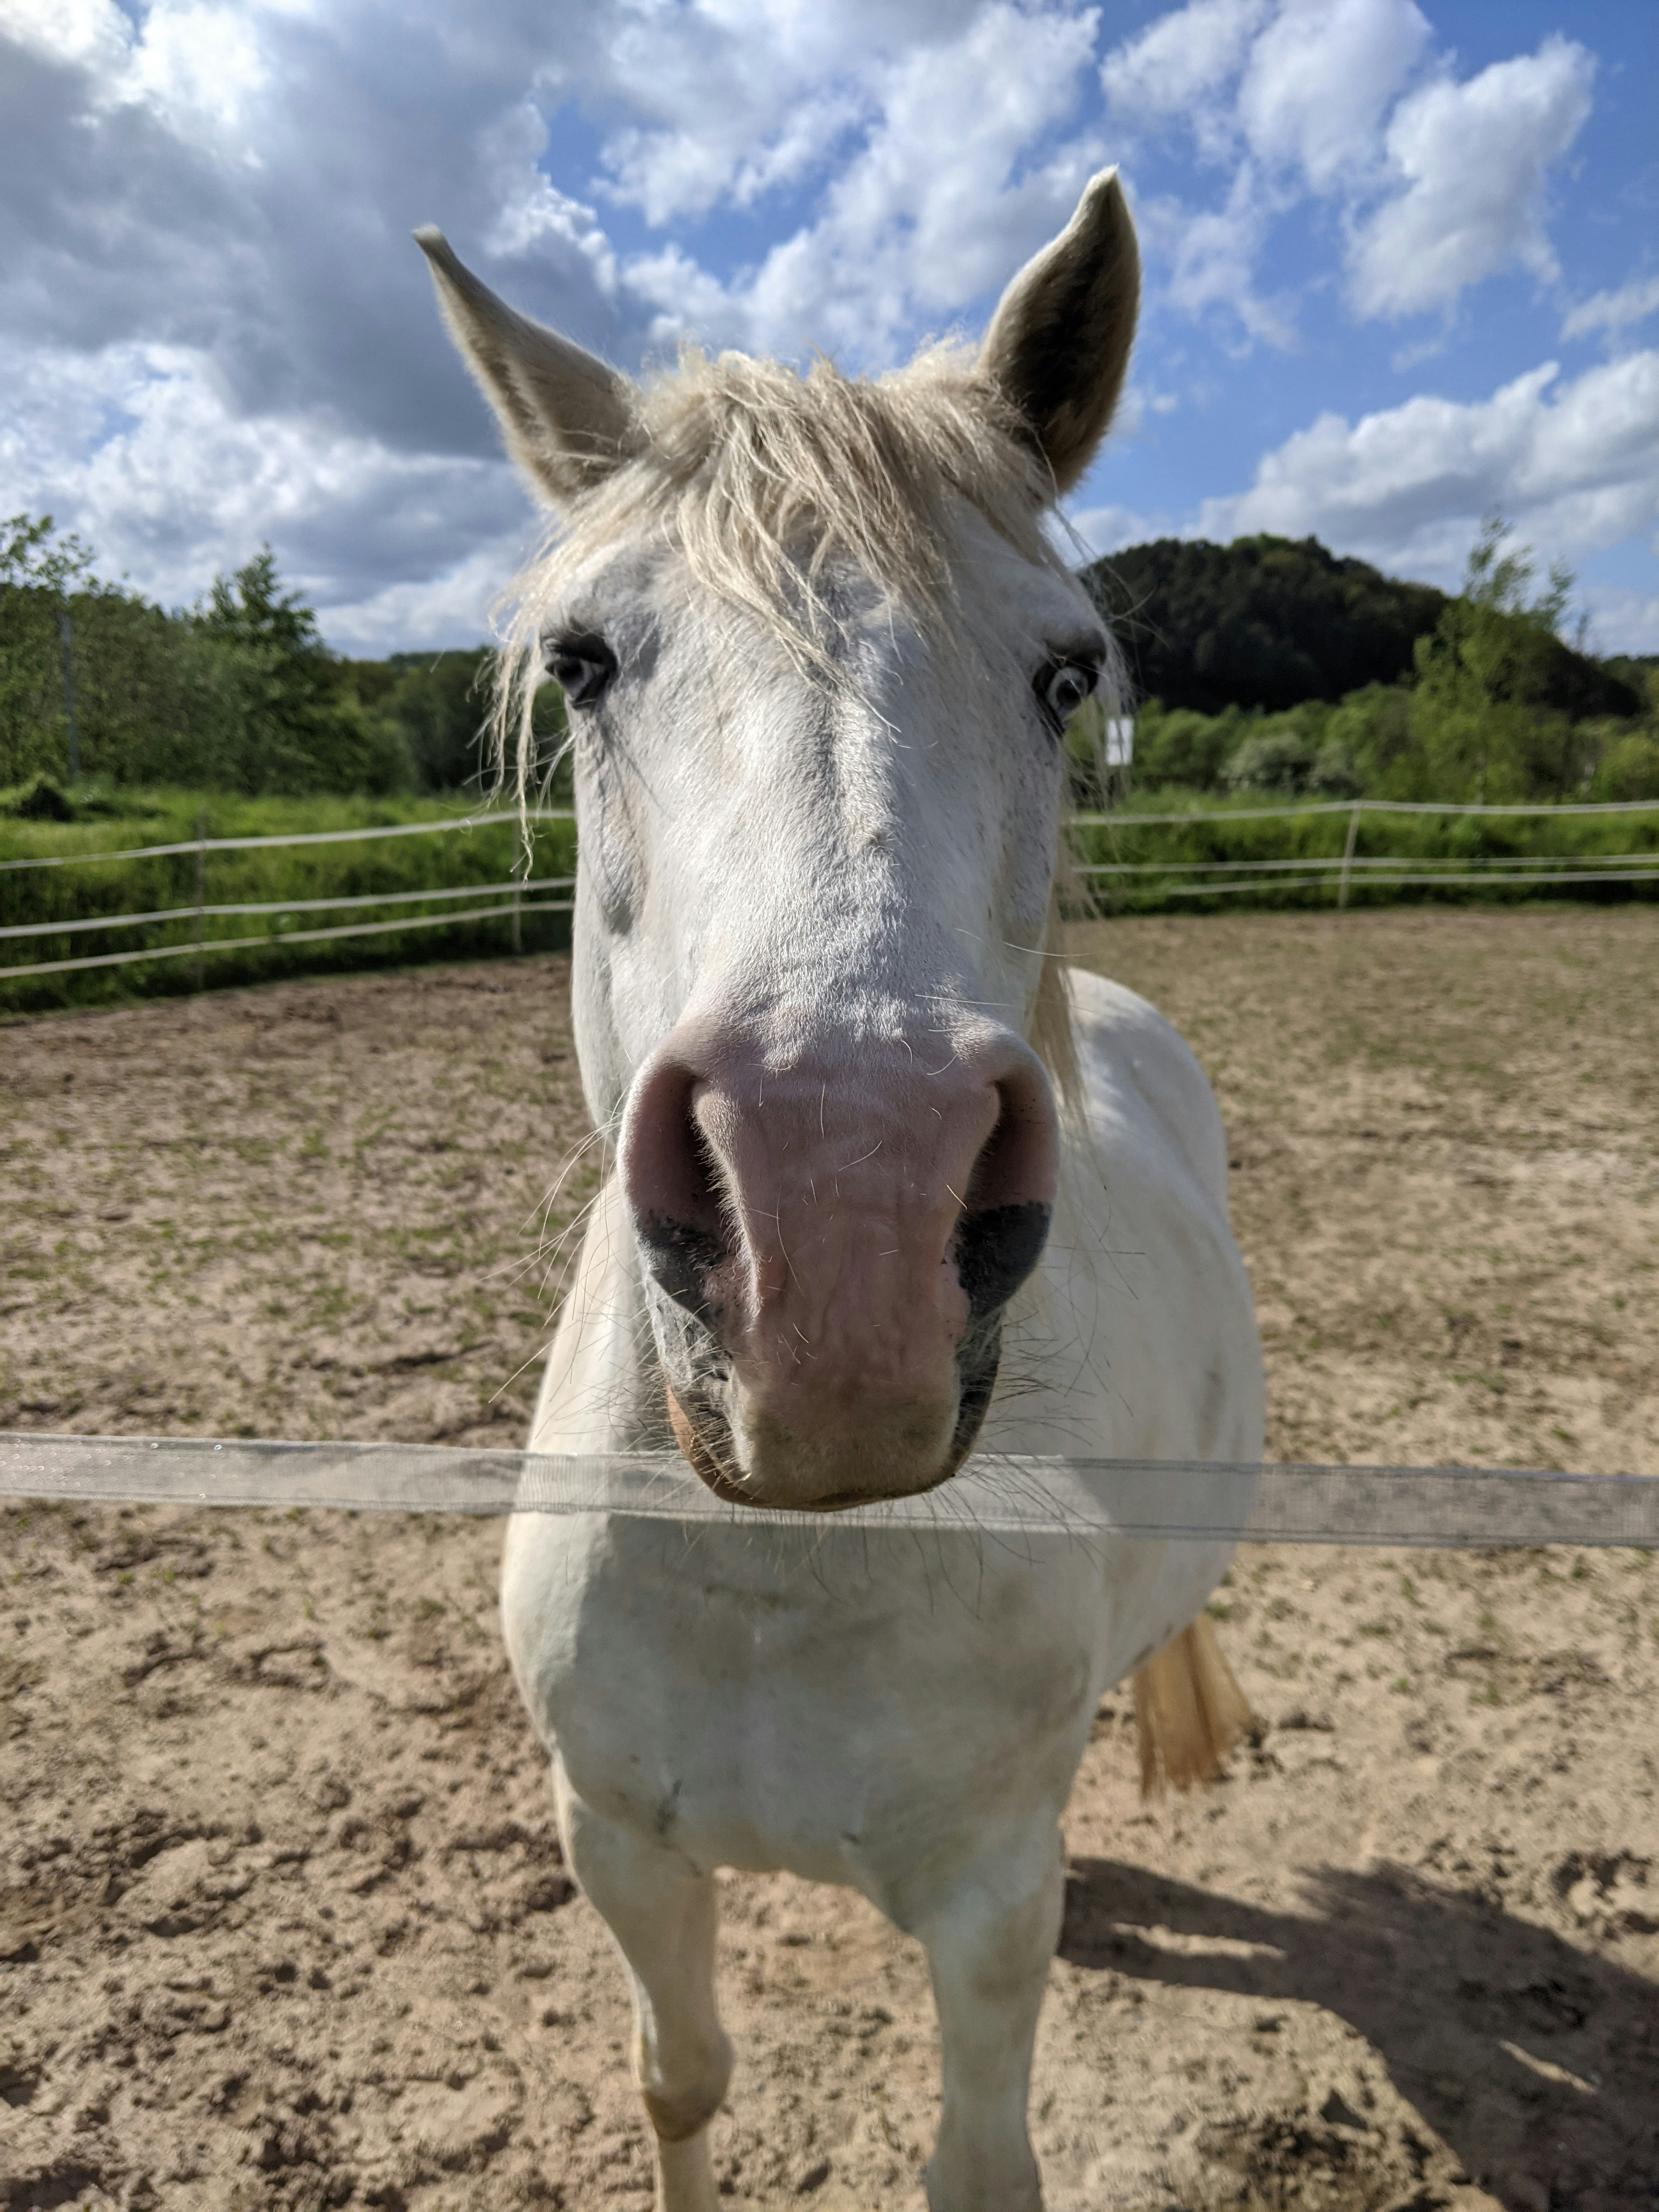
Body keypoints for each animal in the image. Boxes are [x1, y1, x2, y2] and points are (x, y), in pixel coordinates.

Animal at [416, 168, 1264, 2212]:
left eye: (1064, 673)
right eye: (583, 660)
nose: (841, 1218)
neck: (788, 1568)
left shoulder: (990, 1906)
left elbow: (978, 2163)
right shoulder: (618, 1842)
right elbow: (683, 2082)